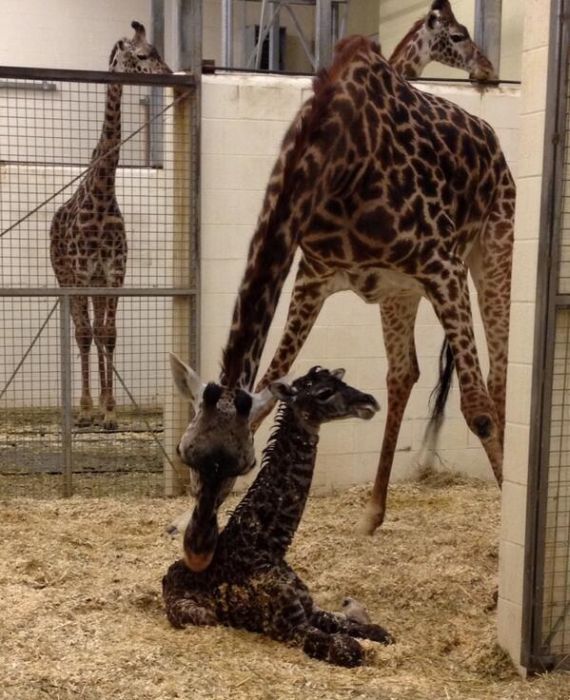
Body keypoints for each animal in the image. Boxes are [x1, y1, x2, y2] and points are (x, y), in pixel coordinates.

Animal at [49, 21, 170, 430]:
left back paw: (101, 405)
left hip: (97, 283)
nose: (168, 73)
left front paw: (112, 411)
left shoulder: (114, 271)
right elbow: (87, 333)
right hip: (65, 277)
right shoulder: (82, 273)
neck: (102, 195)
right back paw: (85, 408)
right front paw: (89, 410)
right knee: (80, 332)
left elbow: (109, 334)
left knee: (99, 331)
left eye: (159, 50)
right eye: (144, 54)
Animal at [160, 366, 390, 668]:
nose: (369, 402)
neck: (269, 545)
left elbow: (378, 631)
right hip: (202, 615)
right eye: (324, 392)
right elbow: (349, 648)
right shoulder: (289, 627)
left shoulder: (310, 609)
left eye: (341, 382)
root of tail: (167, 574)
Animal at [175, 35, 512, 568]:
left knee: (496, 383)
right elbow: (270, 388)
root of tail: (492, 139)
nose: (197, 551)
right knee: (403, 373)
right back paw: (372, 513)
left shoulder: (443, 266)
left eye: (244, 464)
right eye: (185, 453)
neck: (342, 158)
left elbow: (476, 410)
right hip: (400, 291)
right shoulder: (314, 276)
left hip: (493, 247)